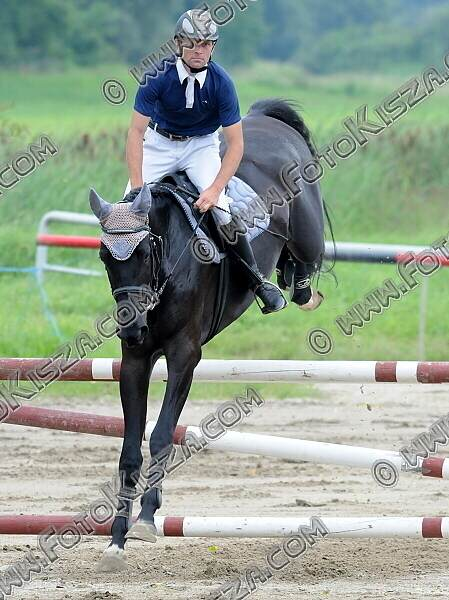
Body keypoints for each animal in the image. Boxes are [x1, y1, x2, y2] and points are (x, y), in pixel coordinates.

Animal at [89, 98, 324, 572]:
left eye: (145, 250)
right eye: (105, 255)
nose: (132, 326)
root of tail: (267, 120)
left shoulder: (184, 355)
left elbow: (162, 433)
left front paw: (146, 520)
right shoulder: (136, 361)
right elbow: (130, 447)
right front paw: (116, 541)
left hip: (308, 232)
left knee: (306, 263)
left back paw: (291, 287)